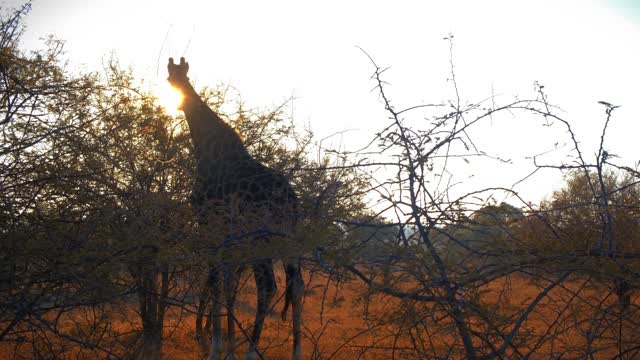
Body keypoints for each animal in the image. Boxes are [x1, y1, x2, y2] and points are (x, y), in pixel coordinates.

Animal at [168, 57, 302, 358]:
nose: (178, 101)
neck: (204, 146)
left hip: (261, 237)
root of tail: (291, 200)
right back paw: (297, 351)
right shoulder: (230, 236)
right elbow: (228, 282)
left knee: (268, 286)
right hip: (287, 239)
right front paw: (227, 341)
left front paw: (215, 345)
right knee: (296, 285)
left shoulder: (210, 223)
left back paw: (252, 351)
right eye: (171, 78)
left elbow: (216, 279)